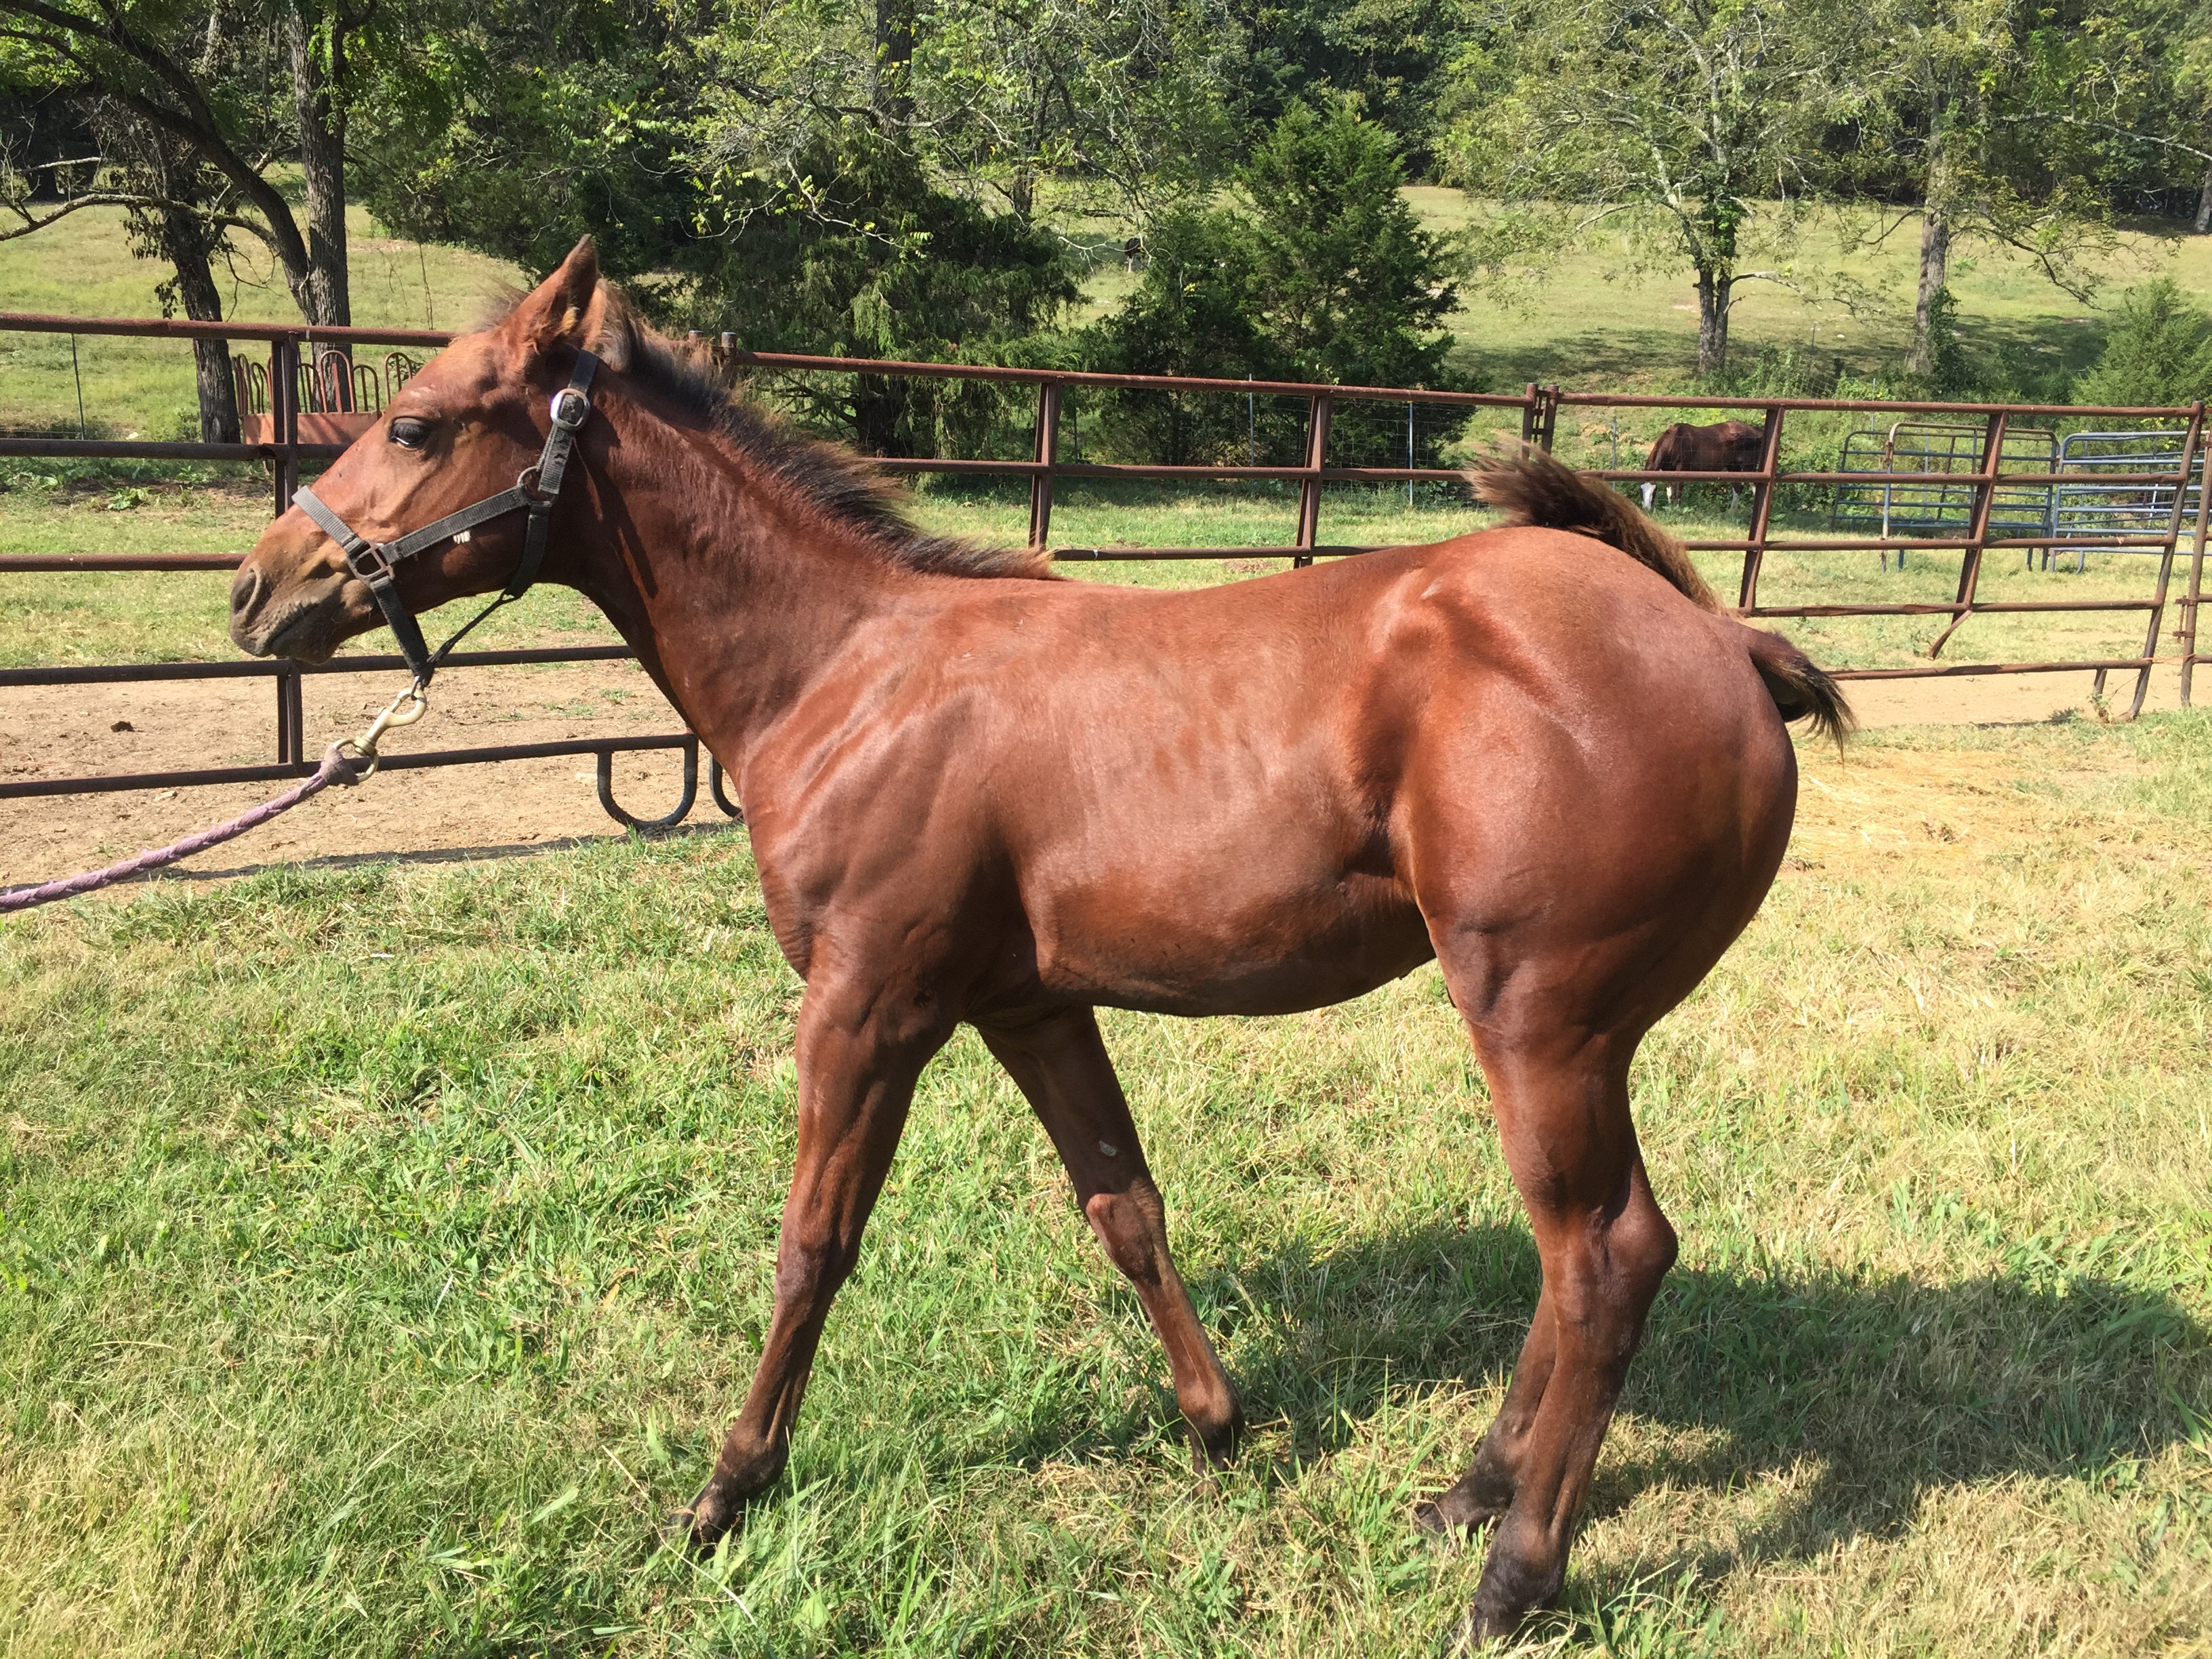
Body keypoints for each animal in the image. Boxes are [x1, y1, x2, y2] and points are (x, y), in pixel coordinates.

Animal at [1642, 419, 1768, 511]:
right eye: (1642, 489)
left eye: (1654, 490)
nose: (1646, 508)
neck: (1675, 441)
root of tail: (1756, 431)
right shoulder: (1667, 471)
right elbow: (1670, 493)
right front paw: (1670, 507)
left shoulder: (1682, 469)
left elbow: (1678, 491)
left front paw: (1677, 509)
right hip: (1733, 466)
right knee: (1737, 487)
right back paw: (1732, 512)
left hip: (1748, 466)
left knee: (1754, 486)